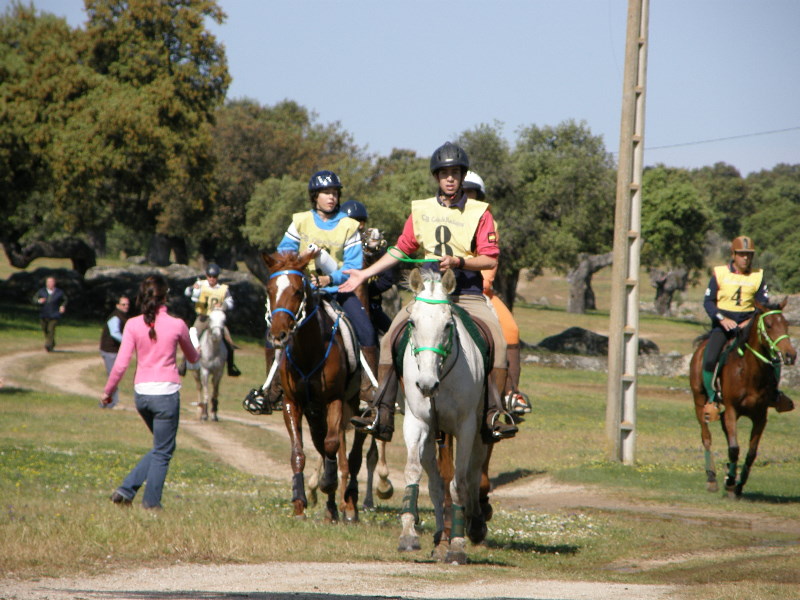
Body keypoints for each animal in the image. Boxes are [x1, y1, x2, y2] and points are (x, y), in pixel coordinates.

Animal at [260, 248, 364, 520]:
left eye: (298, 291)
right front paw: (299, 502)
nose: (278, 335)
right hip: (314, 413)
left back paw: (346, 505)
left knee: (345, 451)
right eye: (270, 290)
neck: (308, 353)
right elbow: (298, 452)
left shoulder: (334, 399)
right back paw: (331, 508)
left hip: (349, 405)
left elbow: (332, 445)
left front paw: (328, 483)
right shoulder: (292, 403)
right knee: (320, 444)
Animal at [398, 270, 488, 564]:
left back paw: (472, 526)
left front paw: (458, 546)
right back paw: (440, 537)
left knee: (472, 473)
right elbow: (413, 472)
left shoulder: (466, 427)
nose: (426, 385)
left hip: (479, 433)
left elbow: (459, 482)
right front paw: (408, 535)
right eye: (412, 322)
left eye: (448, 325)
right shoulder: (416, 422)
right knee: (437, 483)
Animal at [688, 298, 792, 496]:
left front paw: (739, 483)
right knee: (706, 437)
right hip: (699, 402)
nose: (791, 355)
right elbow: (734, 448)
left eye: (786, 324)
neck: (750, 371)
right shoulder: (731, 410)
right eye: (768, 325)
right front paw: (729, 482)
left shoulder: (760, 416)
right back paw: (711, 478)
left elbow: (751, 453)